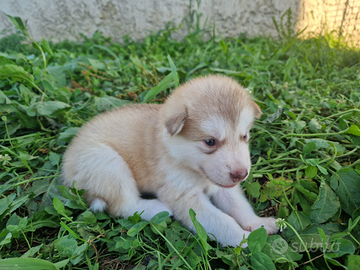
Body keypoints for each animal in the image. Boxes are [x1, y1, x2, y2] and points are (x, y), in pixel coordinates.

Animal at [61, 74, 278, 247]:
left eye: (244, 136)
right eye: (210, 142)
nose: (241, 174)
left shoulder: (223, 187)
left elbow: (239, 205)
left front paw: (259, 223)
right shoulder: (186, 199)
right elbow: (222, 221)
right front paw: (245, 240)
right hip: (108, 163)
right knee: (123, 205)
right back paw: (157, 207)